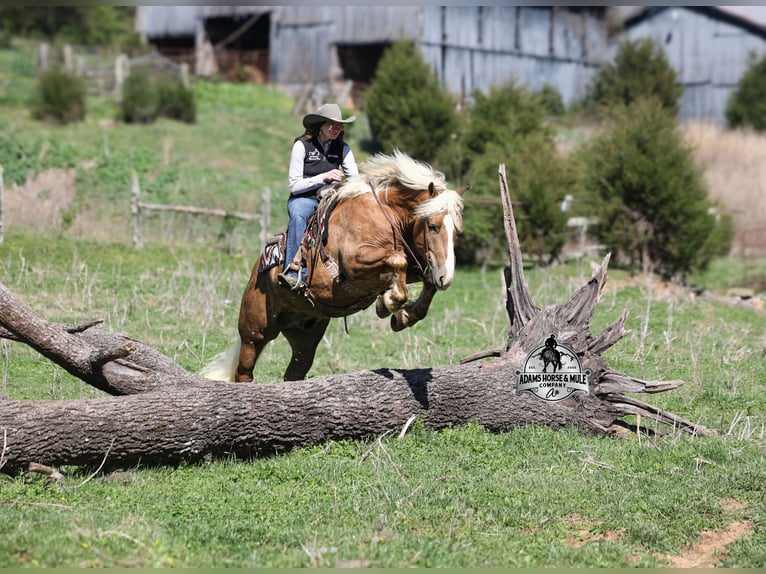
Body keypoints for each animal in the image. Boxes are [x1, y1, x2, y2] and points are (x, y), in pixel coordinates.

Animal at [201, 150, 465, 382]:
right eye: (432, 226)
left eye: (456, 231)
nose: (446, 277)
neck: (382, 216)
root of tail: (258, 270)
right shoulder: (354, 265)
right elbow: (396, 260)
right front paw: (387, 304)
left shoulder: (409, 269)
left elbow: (423, 279)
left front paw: (403, 316)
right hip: (254, 332)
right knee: (244, 371)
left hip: (305, 338)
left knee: (295, 371)